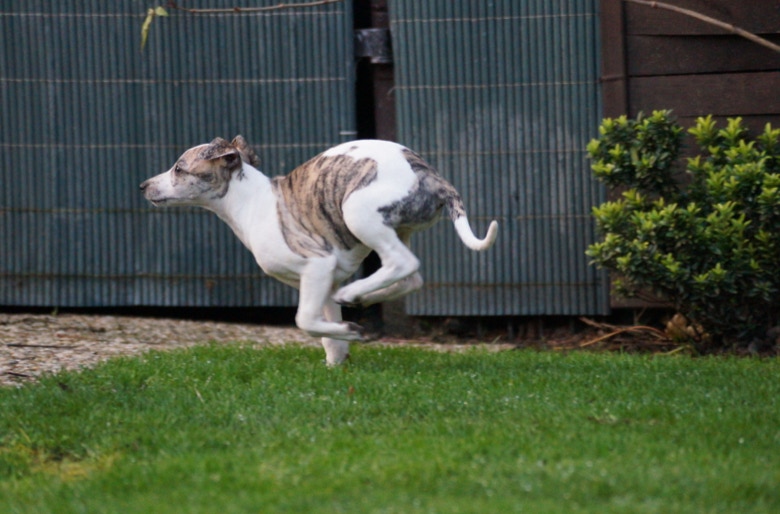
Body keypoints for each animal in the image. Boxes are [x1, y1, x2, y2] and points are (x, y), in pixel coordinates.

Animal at [140, 137, 498, 365]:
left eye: (179, 169)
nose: (143, 186)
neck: (252, 202)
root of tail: (433, 177)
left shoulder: (317, 267)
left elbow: (304, 320)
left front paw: (350, 332)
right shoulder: (327, 279)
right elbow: (324, 328)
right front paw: (337, 357)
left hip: (358, 212)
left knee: (403, 263)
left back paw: (355, 293)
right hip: (397, 229)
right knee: (411, 278)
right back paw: (361, 296)